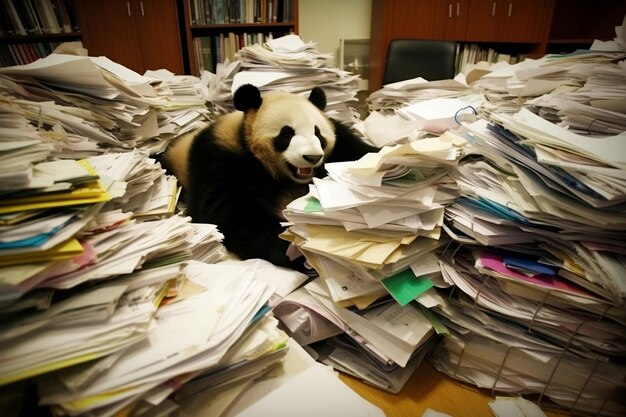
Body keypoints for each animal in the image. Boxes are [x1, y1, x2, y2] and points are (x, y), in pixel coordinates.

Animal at [161, 84, 376, 272]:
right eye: (287, 133)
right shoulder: (222, 158)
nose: (313, 157)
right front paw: (297, 251)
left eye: (318, 133)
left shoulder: (340, 142)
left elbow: (361, 153)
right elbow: (234, 215)